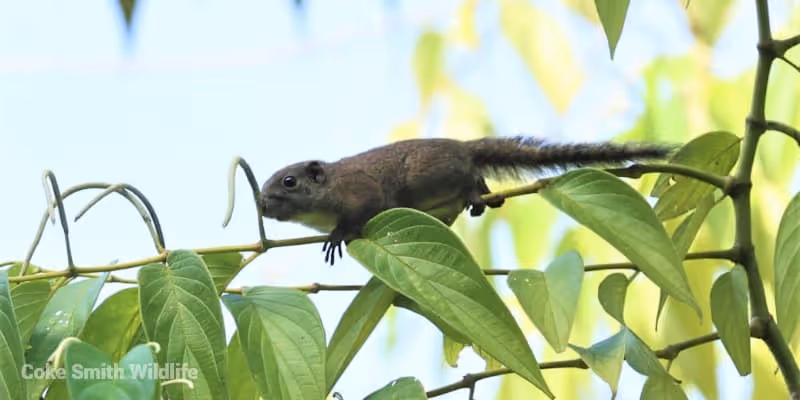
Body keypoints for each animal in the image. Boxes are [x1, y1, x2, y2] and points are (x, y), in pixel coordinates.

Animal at [260, 136, 675, 265]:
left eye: (289, 182)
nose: (262, 205)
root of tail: (463, 146)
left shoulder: (360, 190)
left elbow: (358, 213)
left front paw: (336, 237)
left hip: (427, 176)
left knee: (468, 177)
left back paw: (476, 193)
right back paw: (487, 196)